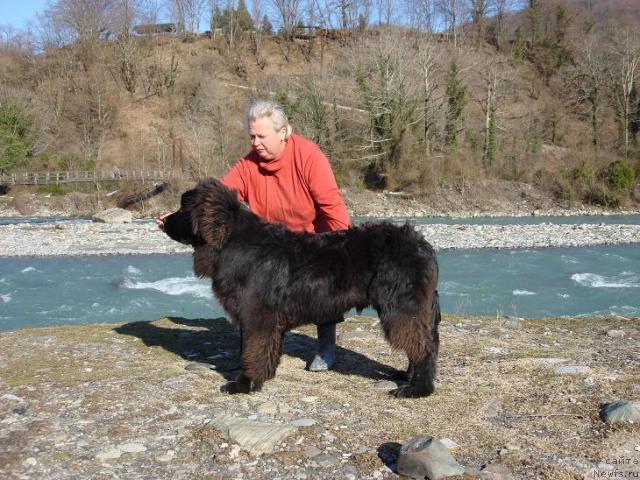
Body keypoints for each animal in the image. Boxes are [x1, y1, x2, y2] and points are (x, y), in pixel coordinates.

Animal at [162, 179, 440, 398]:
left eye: (182, 209)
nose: (163, 221)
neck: (232, 241)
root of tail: (422, 244)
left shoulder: (257, 316)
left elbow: (251, 350)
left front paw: (243, 384)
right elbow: (264, 350)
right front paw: (264, 375)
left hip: (401, 308)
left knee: (424, 347)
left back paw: (417, 389)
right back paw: (408, 377)